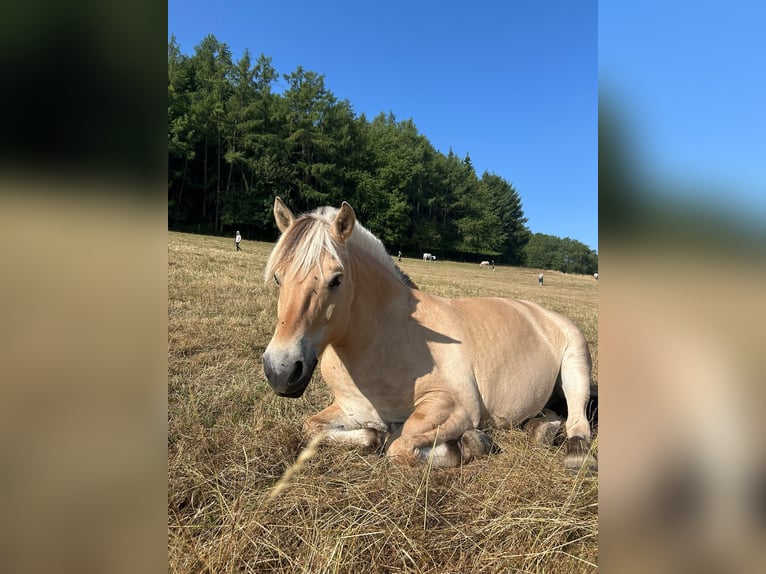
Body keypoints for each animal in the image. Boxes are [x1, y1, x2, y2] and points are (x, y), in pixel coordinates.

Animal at [262, 198, 596, 470]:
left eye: (336, 279)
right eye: (278, 278)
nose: (281, 371)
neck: (381, 341)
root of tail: (543, 313)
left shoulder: (454, 408)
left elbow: (399, 445)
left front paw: (467, 446)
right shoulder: (350, 408)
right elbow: (313, 427)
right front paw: (375, 433)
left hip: (576, 366)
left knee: (578, 421)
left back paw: (574, 453)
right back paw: (542, 429)